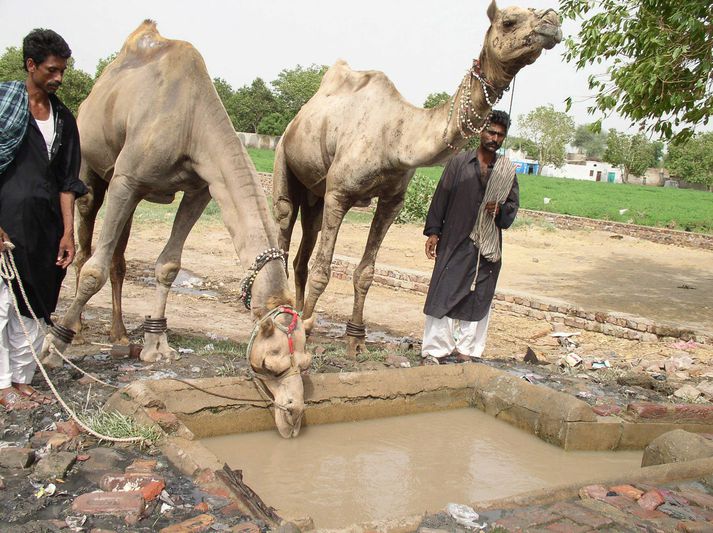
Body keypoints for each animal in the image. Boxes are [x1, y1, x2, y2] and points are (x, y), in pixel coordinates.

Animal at [38, 19, 312, 436]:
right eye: (271, 364)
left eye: (308, 363)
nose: (293, 417)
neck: (191, 121)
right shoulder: (128, 177)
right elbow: (93, 272)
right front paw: (54, 349)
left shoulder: (200, 188)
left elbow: (168, 265)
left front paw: (156, 345)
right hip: (90, 165)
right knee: (85, 249)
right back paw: (79, 330)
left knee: (118, 258)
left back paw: (120, 335)